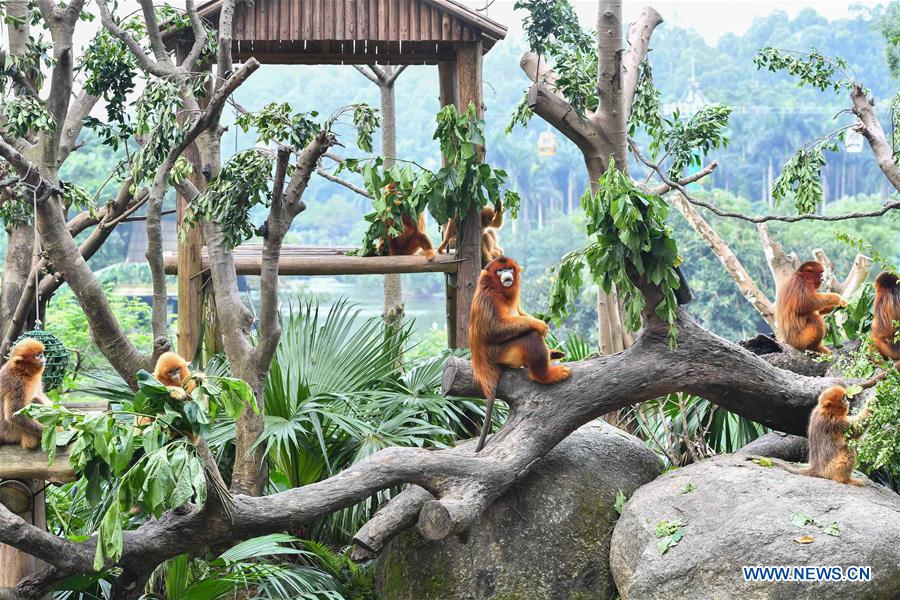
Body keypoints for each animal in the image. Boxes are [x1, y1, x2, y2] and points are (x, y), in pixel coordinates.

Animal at [469, 256, 571, 451]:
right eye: (500, 271)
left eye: (509, 268)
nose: (506, 274)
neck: (499, 290)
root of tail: (483, 364)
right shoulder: (488, 296)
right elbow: (494, 330)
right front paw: (540, 325)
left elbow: (522, 313)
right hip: (502, 353)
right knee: (530, 336)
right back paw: (545, 375)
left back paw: (550, 355)